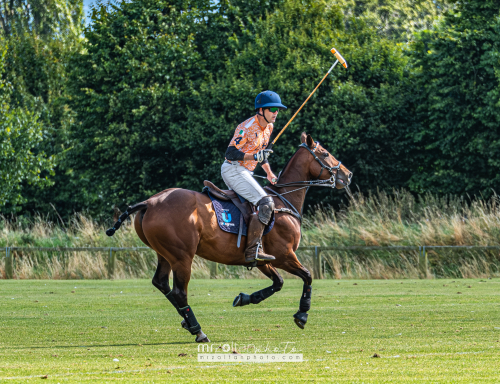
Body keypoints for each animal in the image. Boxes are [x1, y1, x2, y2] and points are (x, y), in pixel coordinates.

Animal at [105, 133, 352, 342]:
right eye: (325, 153)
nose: (347, 174)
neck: (282, 200)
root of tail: (149, 202)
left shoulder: (260, 258)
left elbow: (278, 282)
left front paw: (244, 298)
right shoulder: (284, 254)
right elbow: (308, 276)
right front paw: (302, 315)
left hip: (164, 253)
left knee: (161, 283)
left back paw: (187, 322)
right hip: (182, 256)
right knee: (179, 292)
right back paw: (198, 330)